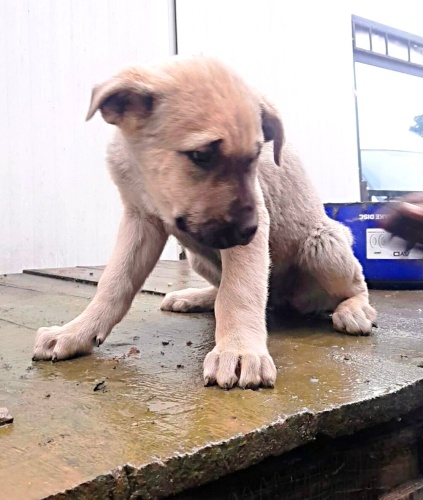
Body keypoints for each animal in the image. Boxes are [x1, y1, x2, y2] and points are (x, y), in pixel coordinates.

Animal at [33, 56, 377, 389]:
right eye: (201, 156)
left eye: (255, 157)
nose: (249, 232)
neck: (151, 181)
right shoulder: (140, 220)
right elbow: (114, 282)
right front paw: (76, 332)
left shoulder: (255, 220)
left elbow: (239, 291)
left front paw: (238, 350)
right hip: (199, 258)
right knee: (223, 288)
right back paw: (195, 297)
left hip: (324, 243)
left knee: (357, 283)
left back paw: (354, 309)